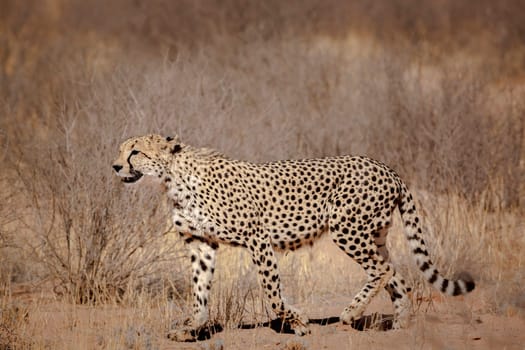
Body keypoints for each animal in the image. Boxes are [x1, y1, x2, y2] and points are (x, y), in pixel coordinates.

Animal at [113, 133, 474, 340]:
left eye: (135, 152)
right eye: (121, 151)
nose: (116, 166)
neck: (174, 177)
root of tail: (386, 167)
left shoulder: (257, 237)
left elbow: (272, 291)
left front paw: (298, 322)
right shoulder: (201, 243)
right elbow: (199, 289)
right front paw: (192, 326)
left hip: (347, 229)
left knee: (383, 270)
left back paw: (350, 314)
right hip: (374, 234)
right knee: (396, 273)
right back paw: (400, 323)